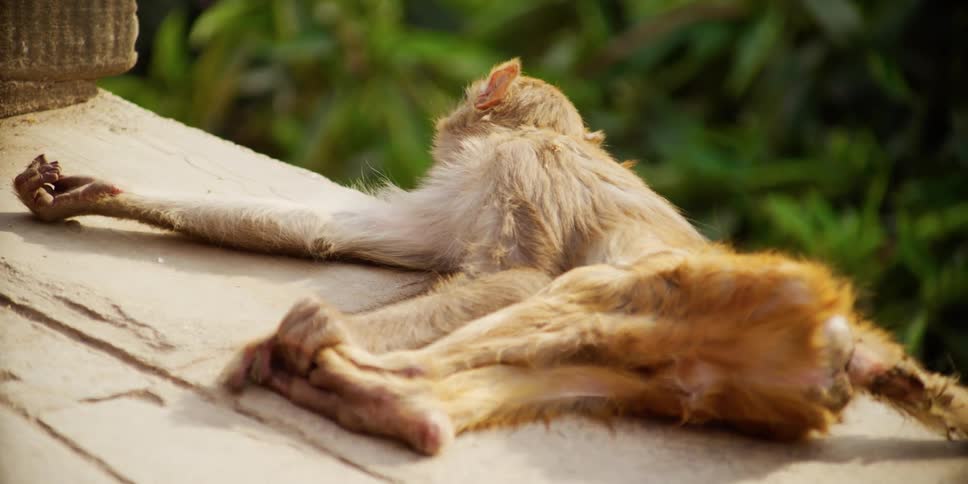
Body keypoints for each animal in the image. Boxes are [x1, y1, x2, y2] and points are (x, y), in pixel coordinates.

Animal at [13, 59, 968, 455]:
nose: (448, 123)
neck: (551, 140)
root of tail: (847, 339)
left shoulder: (520, 170)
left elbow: (517, 274)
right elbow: (336, 228)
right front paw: (95, 193)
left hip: (740, 293)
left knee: (592, 285)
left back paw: (357, 366)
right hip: (718, 376)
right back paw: (400, 409)